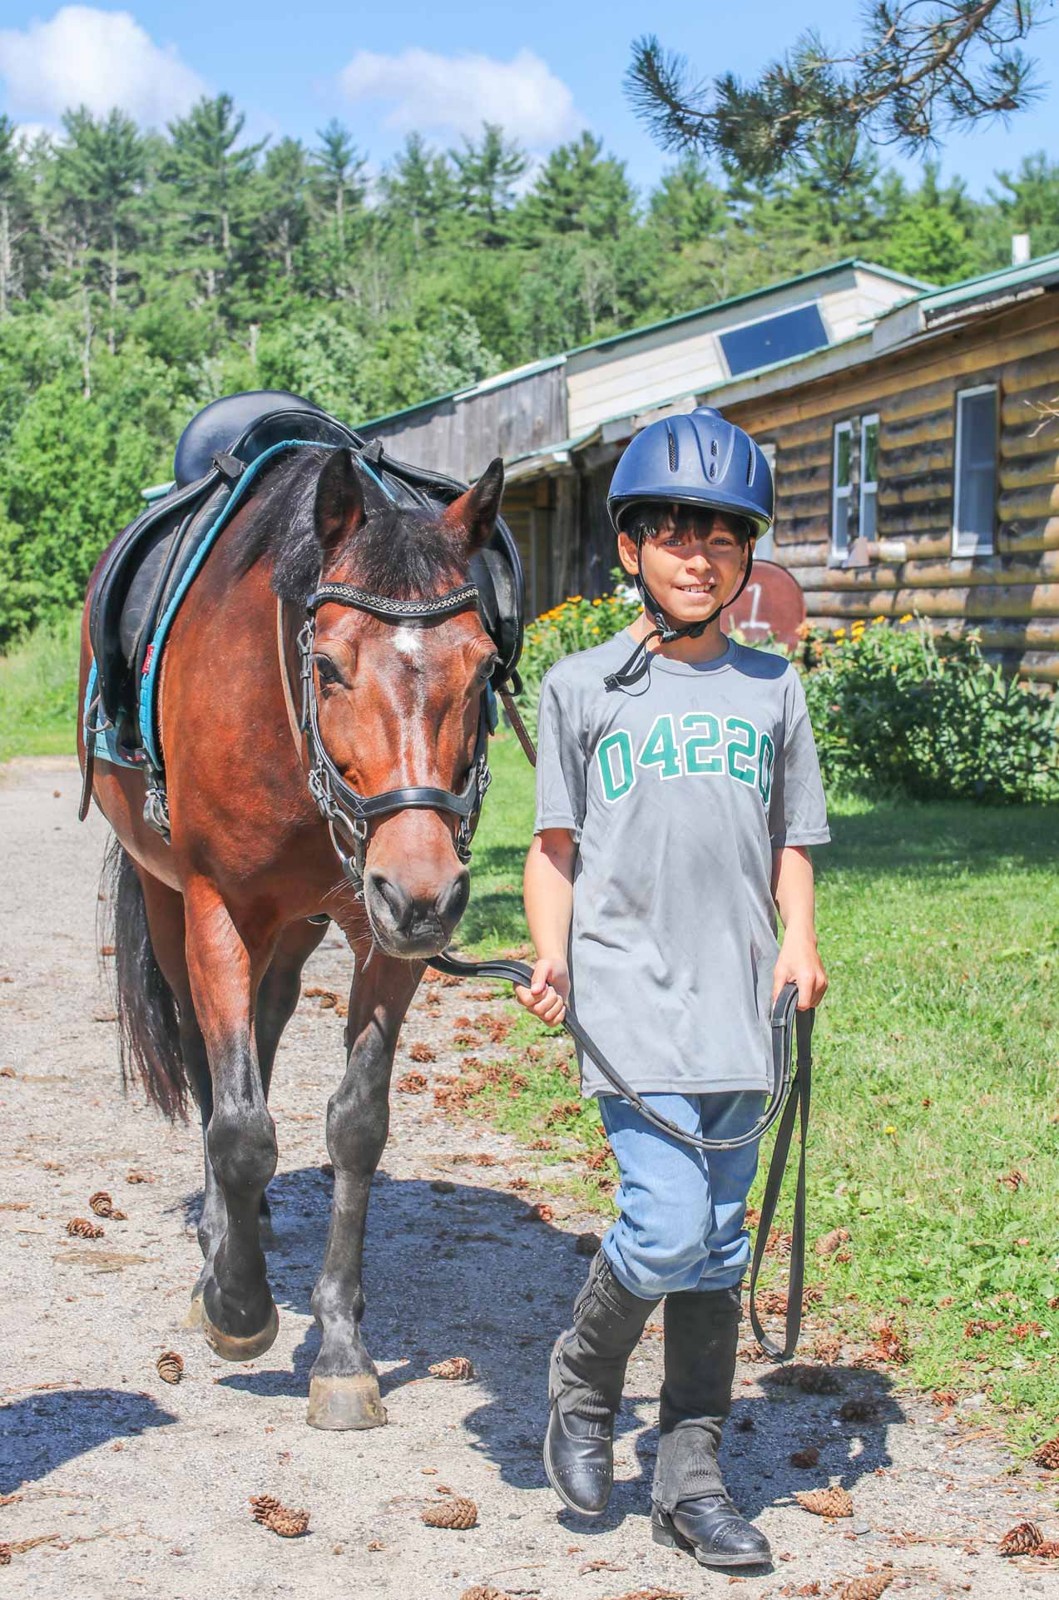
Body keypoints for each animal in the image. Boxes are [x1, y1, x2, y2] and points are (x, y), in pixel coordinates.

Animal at [78, 439, 507, 1431]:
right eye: (331, 666)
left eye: (481, 669)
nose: (425, 895)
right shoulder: (218, 910)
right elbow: (237, 1126)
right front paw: (235, 1303)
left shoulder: (379, 936)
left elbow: (355, 1126)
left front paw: (341, 1348)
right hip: (171, 903)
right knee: (203, 1053)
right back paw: (219, 1236)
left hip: (304, 924)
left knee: (265, 1027)